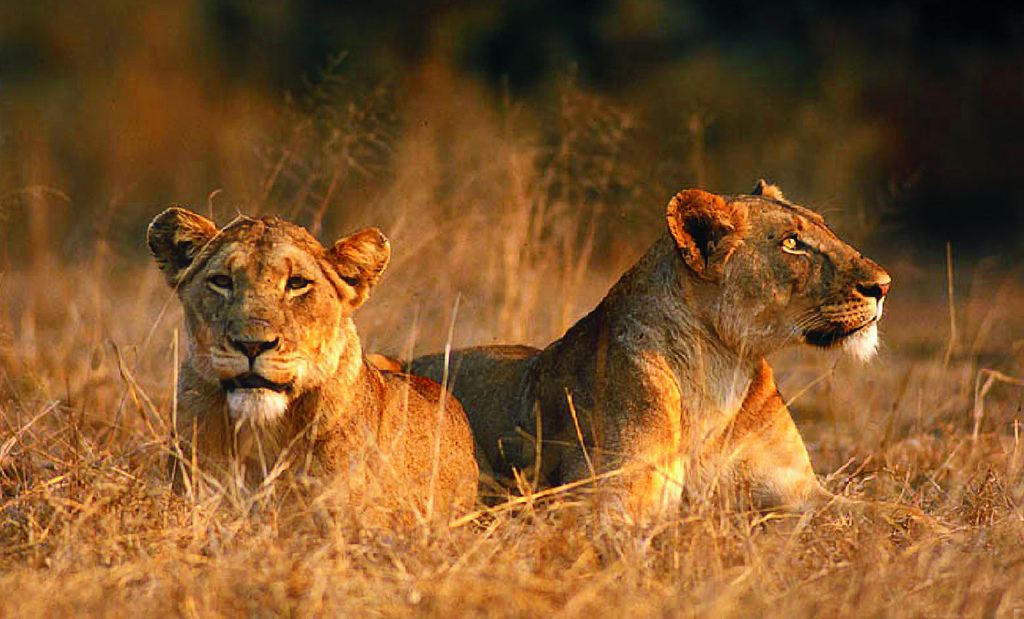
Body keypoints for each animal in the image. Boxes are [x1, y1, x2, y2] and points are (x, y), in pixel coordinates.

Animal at [410, 182, 928, 525]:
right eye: (792, 243)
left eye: (823, 229)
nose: (884, 286)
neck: (722, 369)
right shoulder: (597, 502)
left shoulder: (800, 492)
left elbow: (900, 515)